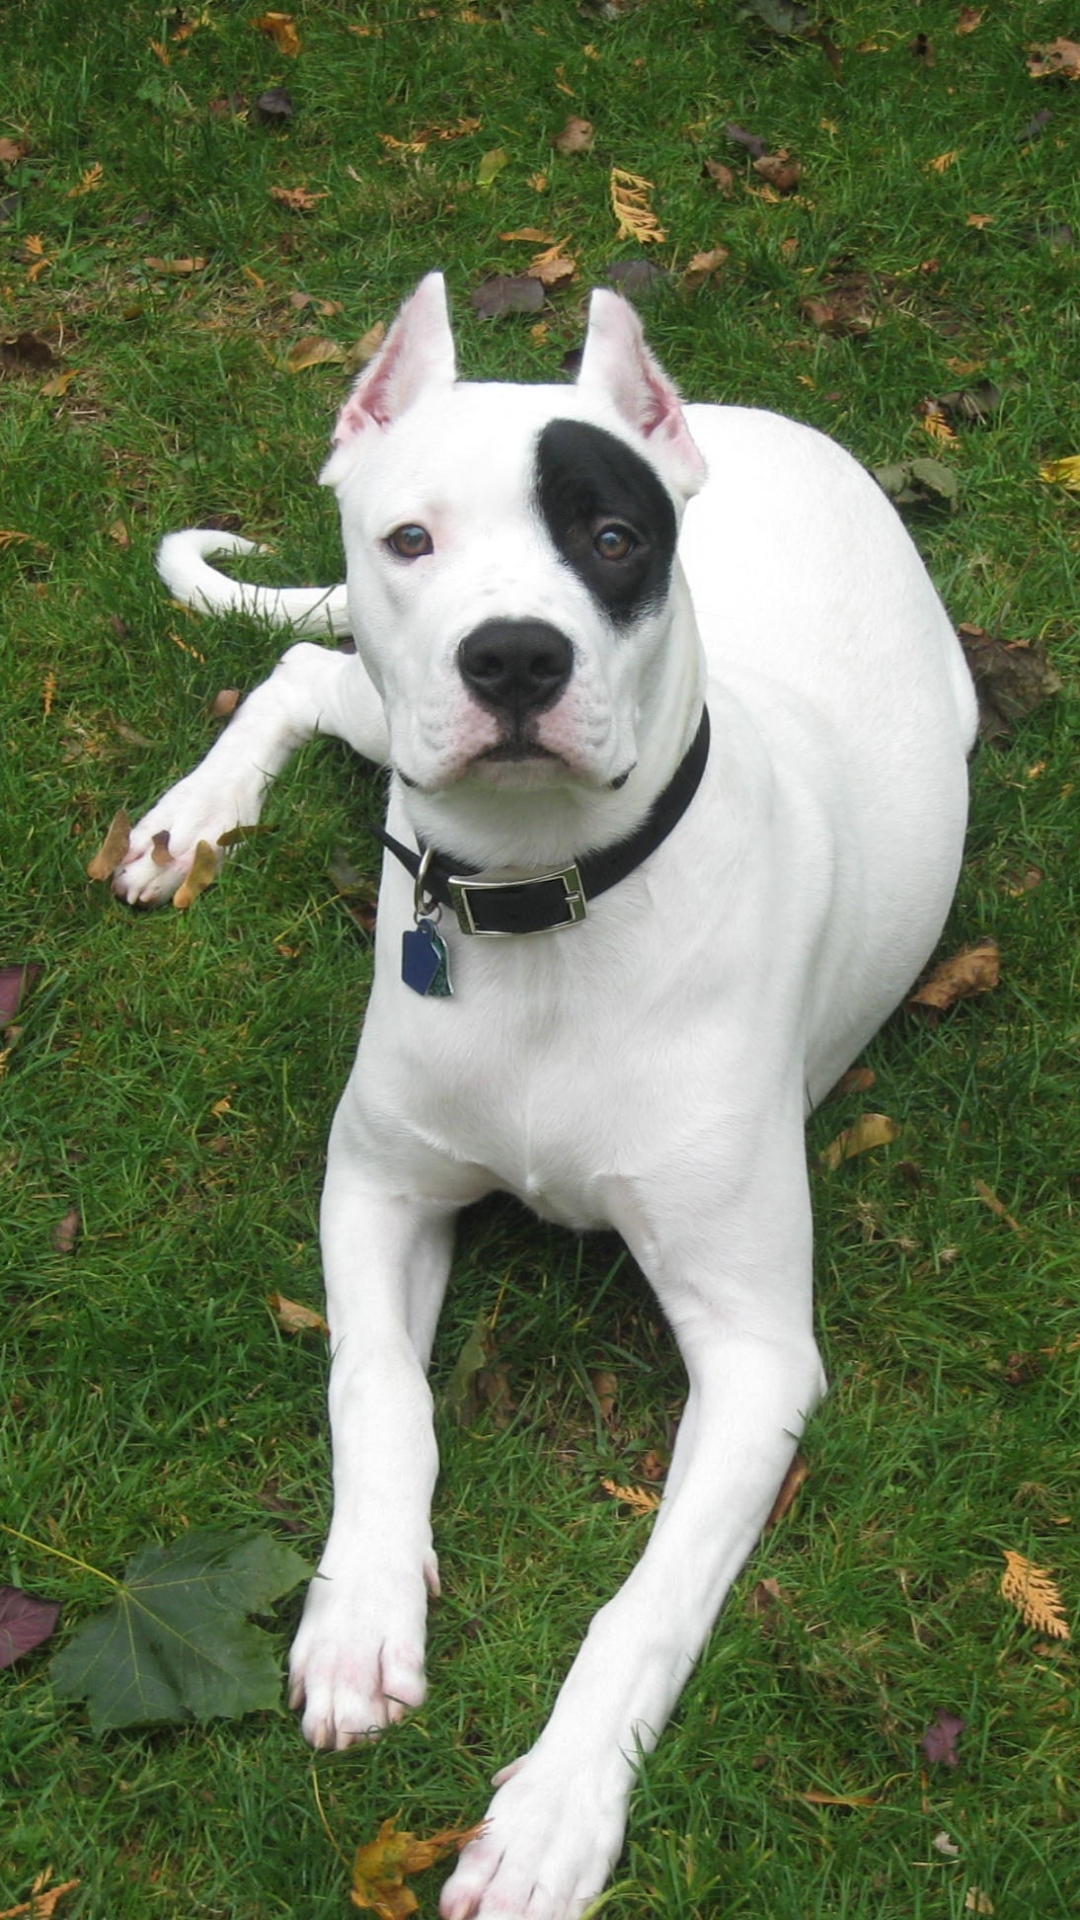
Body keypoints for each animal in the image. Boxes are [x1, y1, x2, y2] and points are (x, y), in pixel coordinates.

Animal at [111, 274, 976, 1920]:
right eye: (410, 540)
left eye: (614, 539)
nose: (514, 658)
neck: (545, 909)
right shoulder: (375, 1188)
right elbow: (377, 1391)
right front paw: (358, 1614)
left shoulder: (757, 1359)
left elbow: (645, 1607)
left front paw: (556, 1811)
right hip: (378, 721)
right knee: (309, 673)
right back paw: (195, 816)